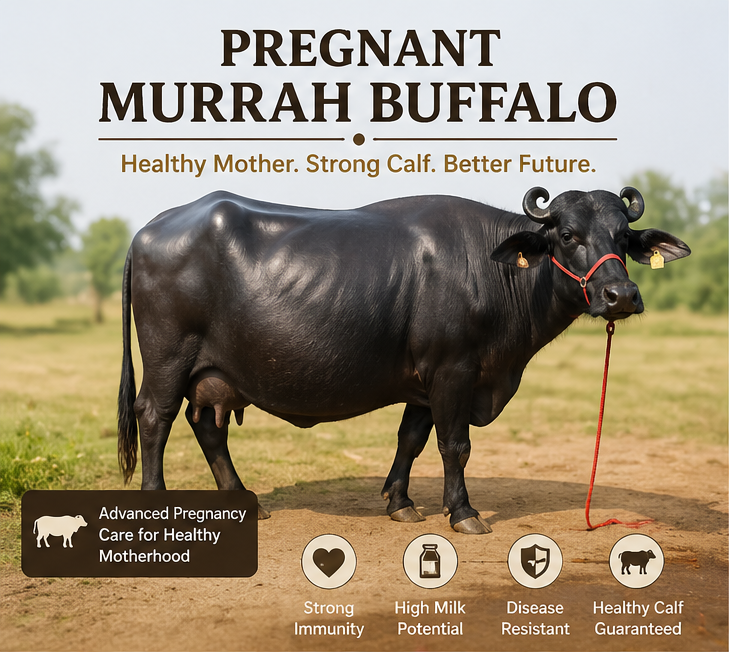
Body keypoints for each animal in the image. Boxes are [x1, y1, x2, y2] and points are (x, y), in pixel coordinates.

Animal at [117, 187, 689, 534]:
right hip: (169, 358)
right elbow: (455, 445)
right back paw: (155, 501)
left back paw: (242, 499)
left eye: (623, 237)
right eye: (568, 235)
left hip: (213, 373)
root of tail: (151, 228)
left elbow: (411, 439)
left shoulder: (425, 381)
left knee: (206, 424)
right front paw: (463, 512)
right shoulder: (454, 370)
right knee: (156, 417)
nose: (620, 295)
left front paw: (401, 502)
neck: (492, 271)